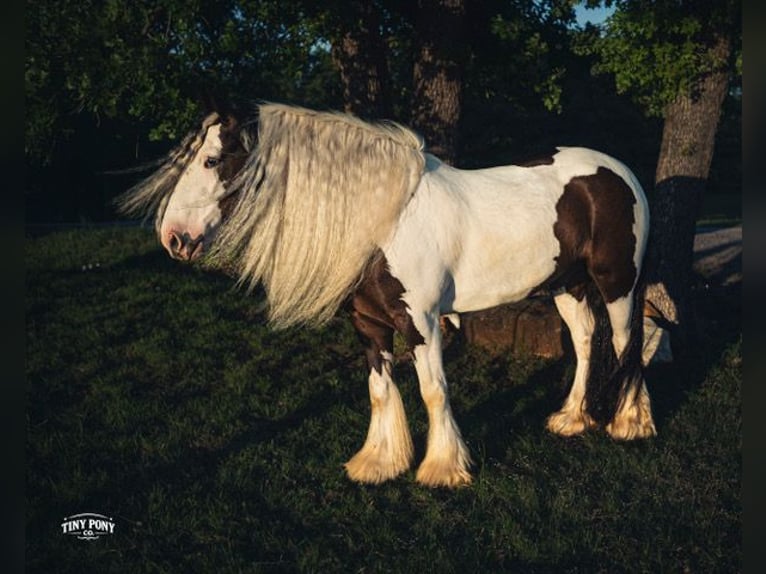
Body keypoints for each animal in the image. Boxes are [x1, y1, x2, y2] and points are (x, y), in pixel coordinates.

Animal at [117, 101, 656, 488]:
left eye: (211, 160)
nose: (173, 238)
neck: (385, 218)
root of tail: (618, 172)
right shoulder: (369, 324)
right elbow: (380, 390)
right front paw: (378, 463)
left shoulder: (420, 321)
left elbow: (433, 390)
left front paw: (442, 470)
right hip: (567, 285)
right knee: (585, 341)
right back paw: (572, 419)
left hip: (617, 284)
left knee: (627, 342)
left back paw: (629, 423)